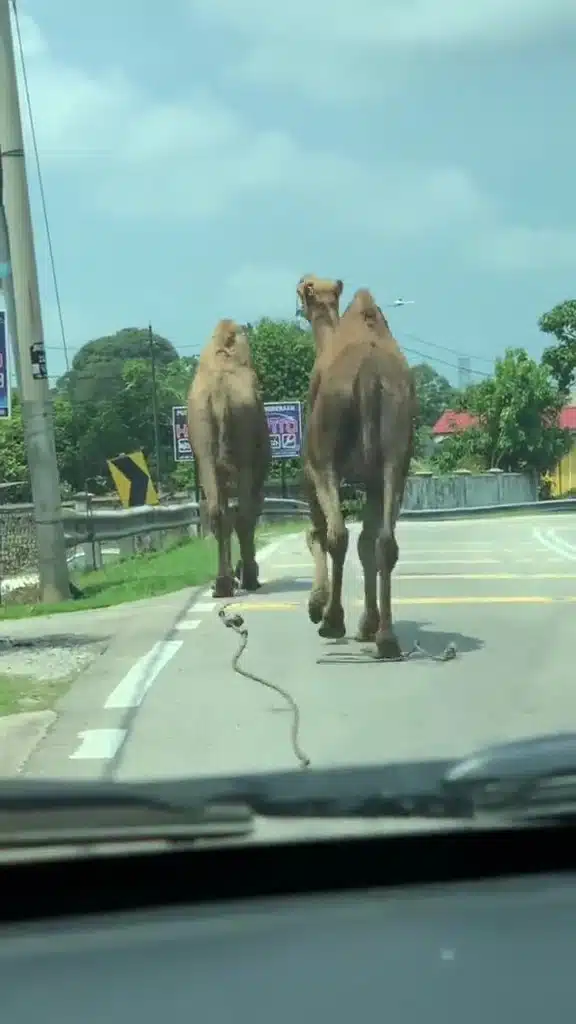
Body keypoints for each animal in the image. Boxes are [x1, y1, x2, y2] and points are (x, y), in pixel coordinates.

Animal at [186, 315, 270, 598]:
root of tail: (221, 397)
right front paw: (244, 571)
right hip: (244, 457)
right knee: (244, 512)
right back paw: (249, 578)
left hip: (205, 449)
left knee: (218, 511)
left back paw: (222, 583)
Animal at [295, 276, 412, 659]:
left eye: (303, 289)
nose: (300, 297)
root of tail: (371, 378)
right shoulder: (373, 478)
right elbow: (368, 542)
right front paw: (368, 625)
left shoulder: (310, 469)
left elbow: (317, 532)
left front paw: (317, 606)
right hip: (396, 454)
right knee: (384, 541)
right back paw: (386, 638)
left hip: (326, 455)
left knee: (337, 534)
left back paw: (332, 622)